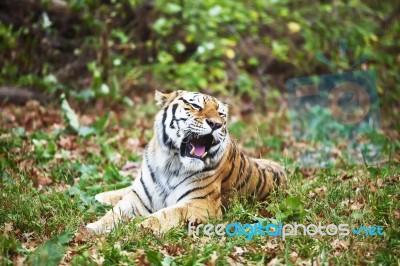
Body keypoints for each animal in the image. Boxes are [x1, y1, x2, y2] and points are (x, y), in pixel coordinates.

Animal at [86, 90, 286, 234]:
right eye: (195, 105)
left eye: (221, 114)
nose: (216, 124)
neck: (171, 162)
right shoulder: (139, 197)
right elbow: (115, 213)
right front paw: (93, 228)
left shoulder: (201, 204)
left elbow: (166, 214)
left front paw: (136, 228)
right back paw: (100, 196)